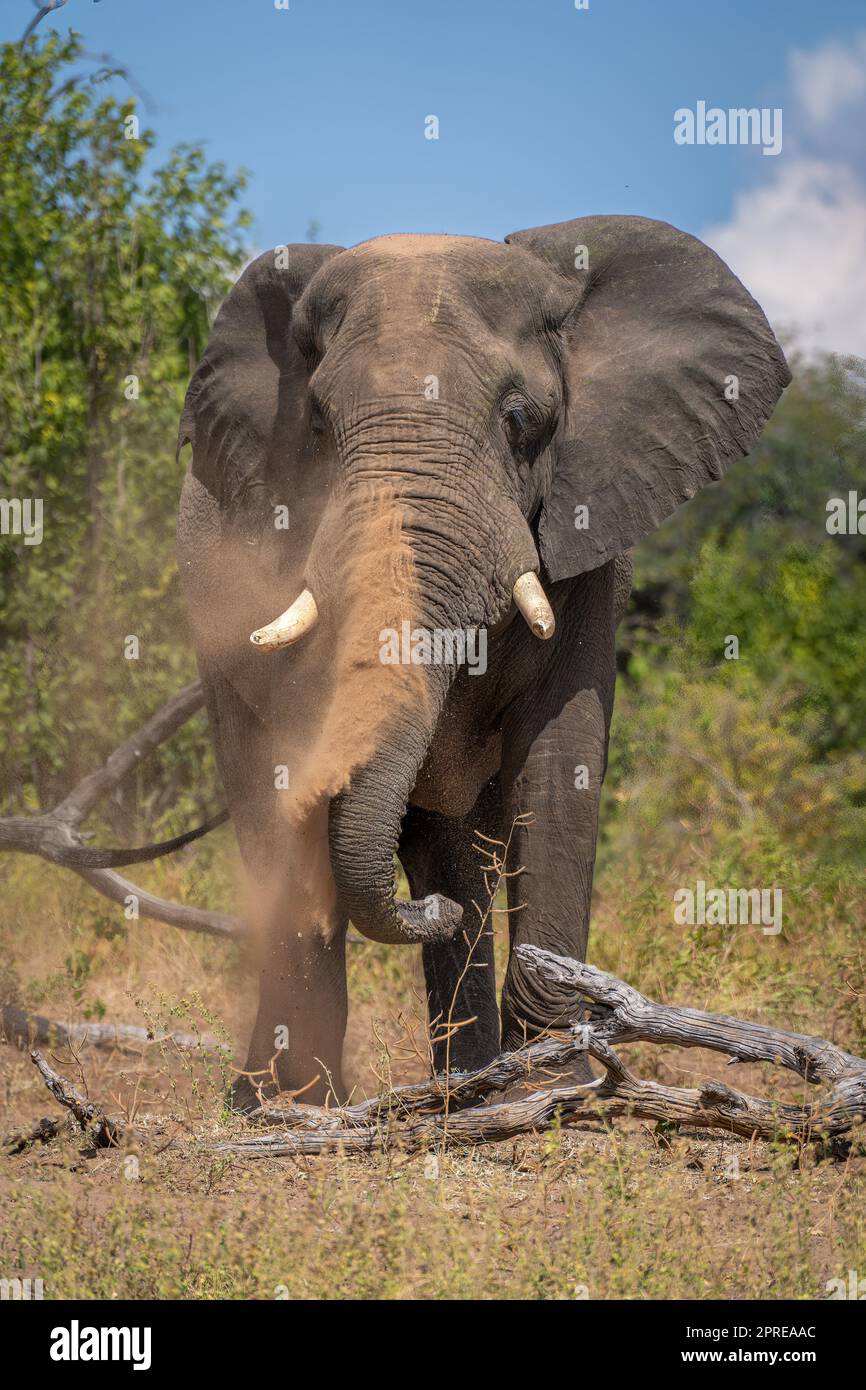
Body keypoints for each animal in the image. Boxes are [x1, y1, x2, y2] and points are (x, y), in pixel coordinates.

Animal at [175, 215, 790, 1110]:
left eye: (519, 417)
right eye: (318, 422)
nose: (421, 908)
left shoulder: (588, 536)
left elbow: (562, 758)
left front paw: (554, 1087)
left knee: (452, 851)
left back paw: (462, 1081)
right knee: (276, 799)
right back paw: (288, 1099)